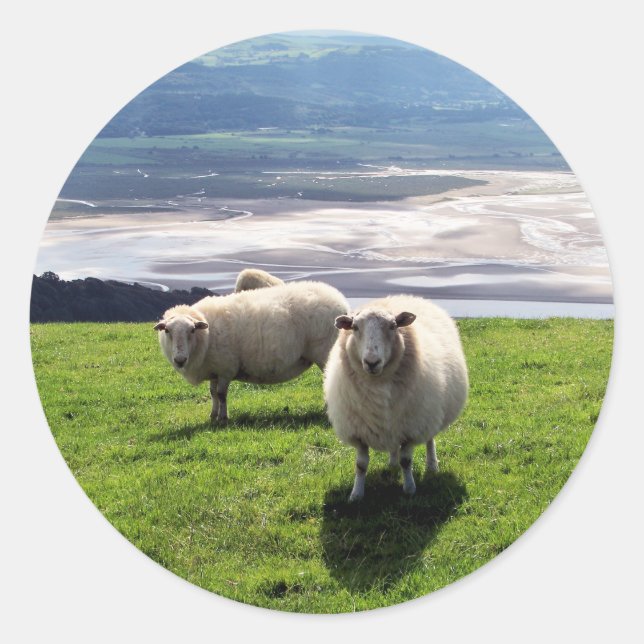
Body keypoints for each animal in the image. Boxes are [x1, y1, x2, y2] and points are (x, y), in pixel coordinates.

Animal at [154, 280, 349, 423]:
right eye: (167, 331)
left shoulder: (226, 368)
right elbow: (212, 394)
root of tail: (340, 300)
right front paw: (213, 415)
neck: (206, 337)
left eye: (192, 330)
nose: (180, 360)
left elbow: (221, 395)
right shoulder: (214, 369)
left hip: (325, 352)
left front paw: (223, 418)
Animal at [323, 295, 468, 501]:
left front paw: (409, 489)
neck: (378, 384)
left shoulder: (412, 427)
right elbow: (361, 465)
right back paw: (392, 463)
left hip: (429, 413)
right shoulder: (359, 431)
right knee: (393, 445)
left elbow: (406, 461)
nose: (372, 362)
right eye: (355, 327)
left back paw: (432, 465)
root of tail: (405, 296)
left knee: (429, 439)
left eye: (393, 326)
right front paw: (356, 494)